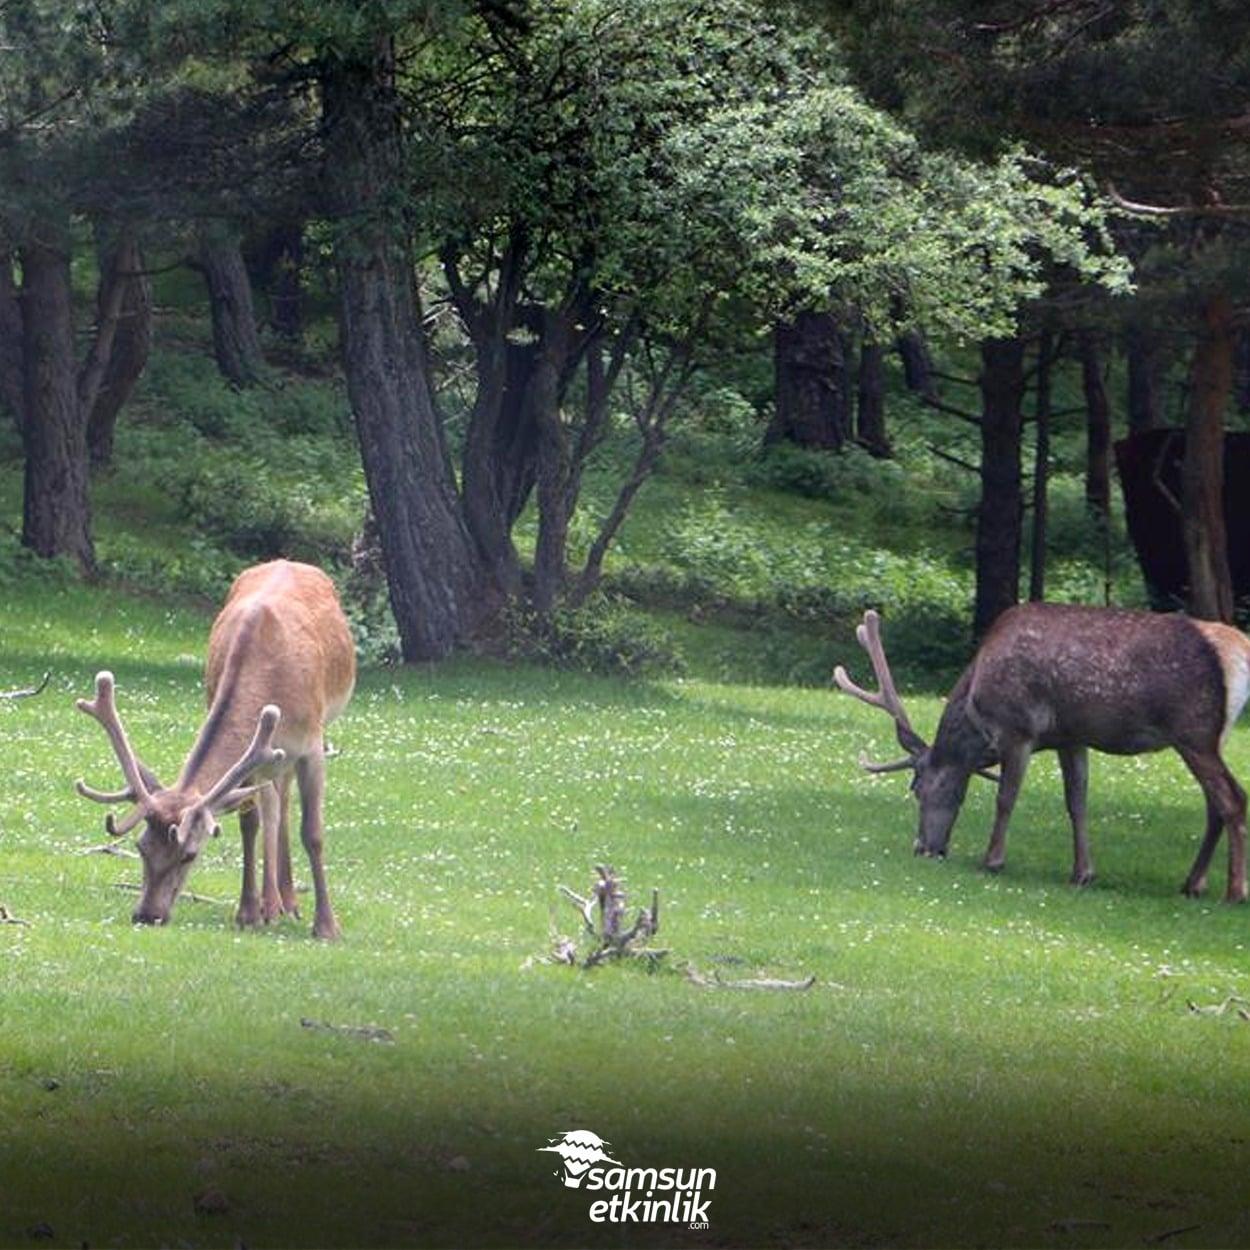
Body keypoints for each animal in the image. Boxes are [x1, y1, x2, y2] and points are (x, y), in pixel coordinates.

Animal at [75, 562, 355, 935]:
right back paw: (274, 903)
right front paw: (248, 912)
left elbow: (313, 832)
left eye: (189, 854)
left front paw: (327, 926)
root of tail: (289, 561)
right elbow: (250, 822)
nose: (147, 914)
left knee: (284, 802)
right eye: (141, 847)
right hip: (269, 762)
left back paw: (289, 902)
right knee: (274, 803)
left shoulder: (311, 743)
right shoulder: (251, 757)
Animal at [830, 602, 1250, 900]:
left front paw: (992, 859)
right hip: (1210, 738)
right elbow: (1077, 802)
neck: (976, 704)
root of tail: (1240, 651)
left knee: (1232, 798)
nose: (923, 848)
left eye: (917, 788)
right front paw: (1082, 873)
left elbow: (1006, 797)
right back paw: (1193, 883)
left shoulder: (1018, 729)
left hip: (1194, 731)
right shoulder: (1070, 737)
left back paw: (1234, 891)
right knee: (1215, 804)